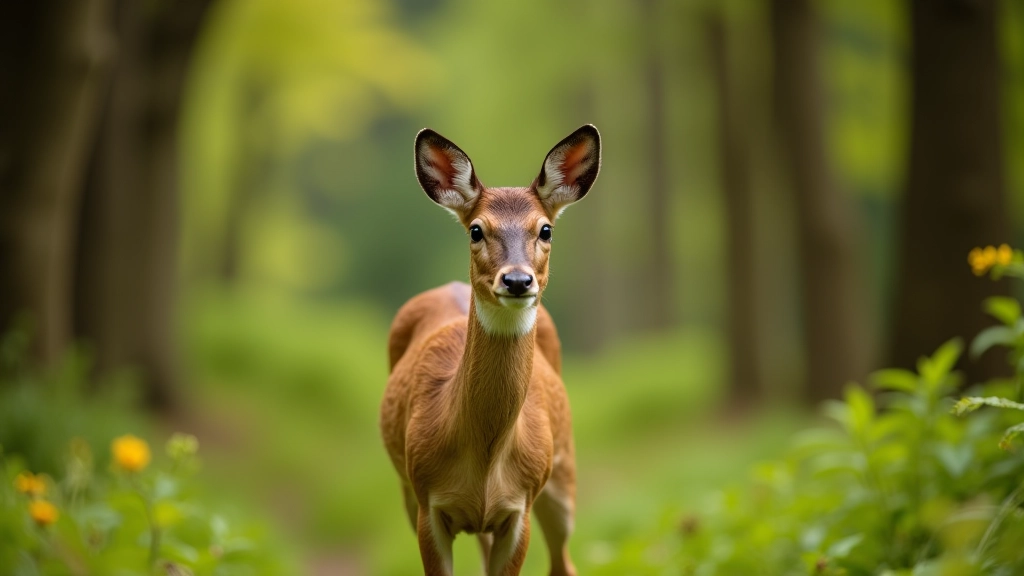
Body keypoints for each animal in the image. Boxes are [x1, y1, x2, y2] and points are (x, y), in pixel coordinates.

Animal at [380, 125, 601, 576]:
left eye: (546, 229)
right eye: (476, 230)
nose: (517, 280)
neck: (485, 461)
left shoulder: (520, 510)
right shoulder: (427, 504)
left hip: (562, 479)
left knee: (563, 563)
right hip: (407, 491)